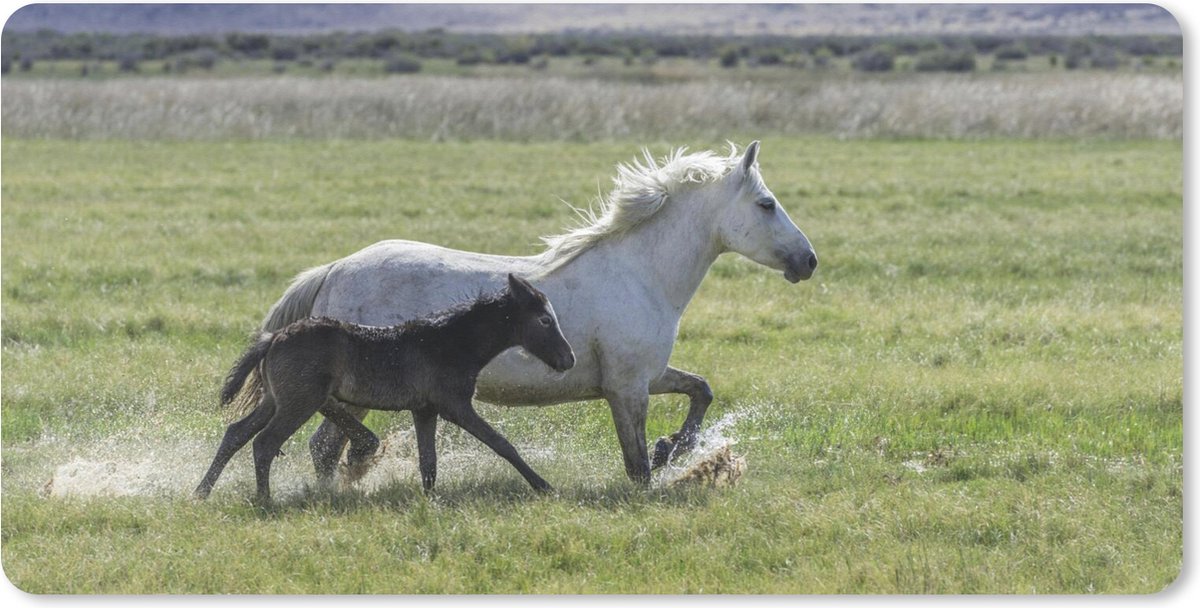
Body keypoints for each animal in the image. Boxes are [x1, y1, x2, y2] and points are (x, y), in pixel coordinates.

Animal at [194, 274, 575, 503]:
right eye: (545, 320)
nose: (568, 359)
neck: (451, 342)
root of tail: (273, 338)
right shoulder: (454, 405)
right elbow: (501, 443)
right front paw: (544, 486)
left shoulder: (425, 409)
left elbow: (428, 461)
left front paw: (428, 498)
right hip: (299, 402)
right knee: (264, 443)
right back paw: (264, 499)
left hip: (276, 400)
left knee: (236, 433)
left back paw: (202, 491)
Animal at [235, 140, 817, 485]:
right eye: (766, 204)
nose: (808, 261)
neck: (641, 274)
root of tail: (334, 269)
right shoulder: (627, 387)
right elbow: (634, 463)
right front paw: (659, 461)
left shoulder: (648, 375)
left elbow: (701, 390)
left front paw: (672, 447)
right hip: (351, 392)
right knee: (322, 446)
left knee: (324, 447)